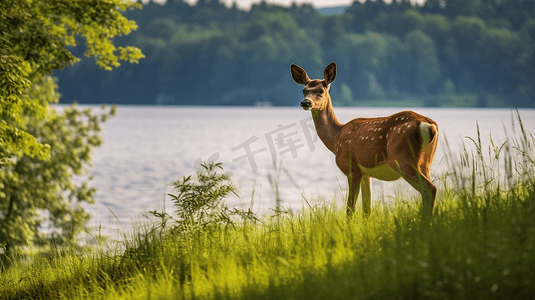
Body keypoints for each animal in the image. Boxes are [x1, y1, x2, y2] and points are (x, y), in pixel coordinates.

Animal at [294, 61, 440, 220]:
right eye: (303, 90)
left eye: (321, 90)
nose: (305, 102)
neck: (336, 139)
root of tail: (430, 126)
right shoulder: (366, 174)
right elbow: (366, 210)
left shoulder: (352, 167)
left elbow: (350, 209)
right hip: (426, 161)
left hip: (403, 158)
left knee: (430, 189)